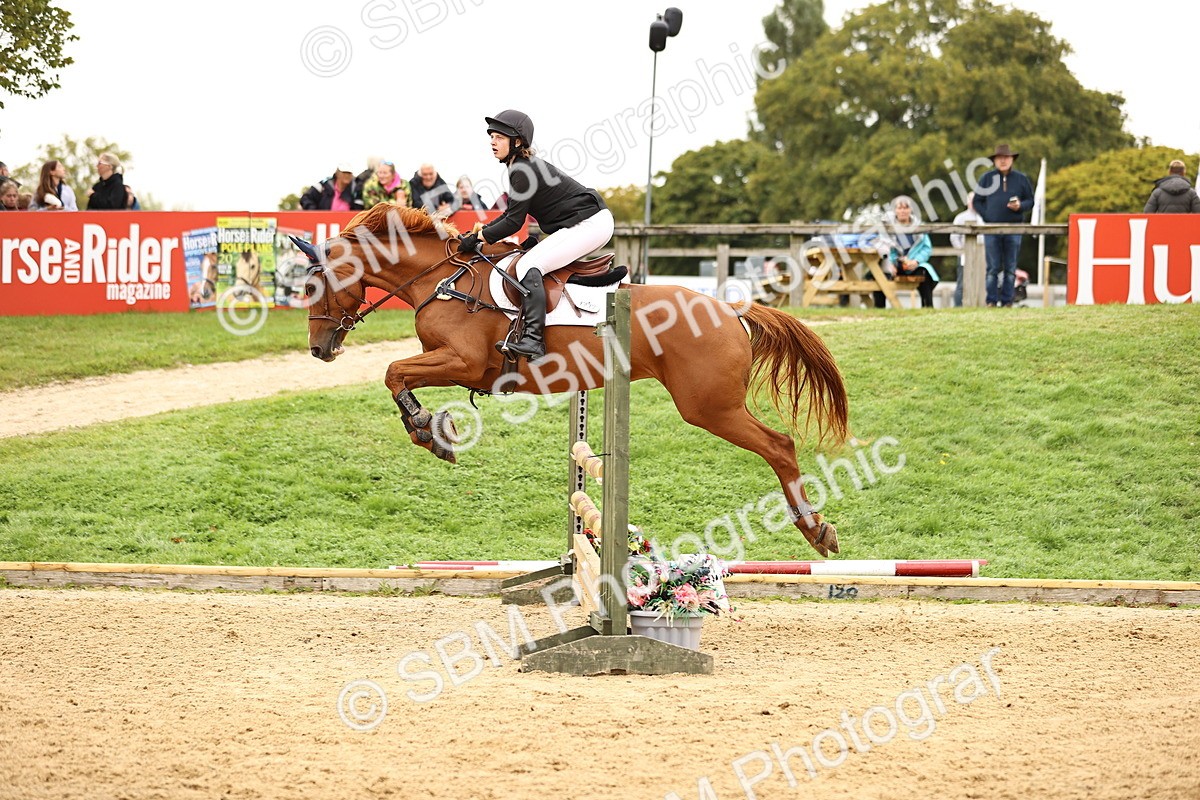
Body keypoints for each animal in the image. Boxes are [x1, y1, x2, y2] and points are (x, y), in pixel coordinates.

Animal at [300, 204, 849, 556]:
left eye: (311, 285)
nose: (319, 349)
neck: (444, 281)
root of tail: (730, 310)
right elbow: (396, 373)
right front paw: (430, 429)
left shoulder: (462, 361)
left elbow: (394, 372)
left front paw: (428, 431)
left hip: (709, 407)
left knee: (779, 445)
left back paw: (815, 529)